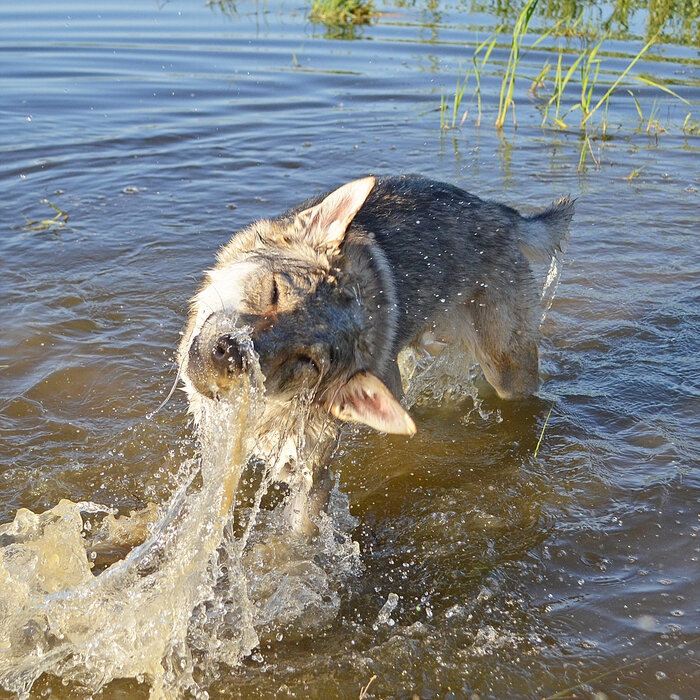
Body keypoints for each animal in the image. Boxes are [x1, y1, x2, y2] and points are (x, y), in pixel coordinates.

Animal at [179, 175, 576, 532]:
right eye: (275, 292)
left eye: (307, 361)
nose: (230, 352)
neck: (266, 411)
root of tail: (503, 213)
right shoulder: (220, 448)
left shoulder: (312, 474)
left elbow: (296, 541)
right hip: (402, 371)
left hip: (506, 369)